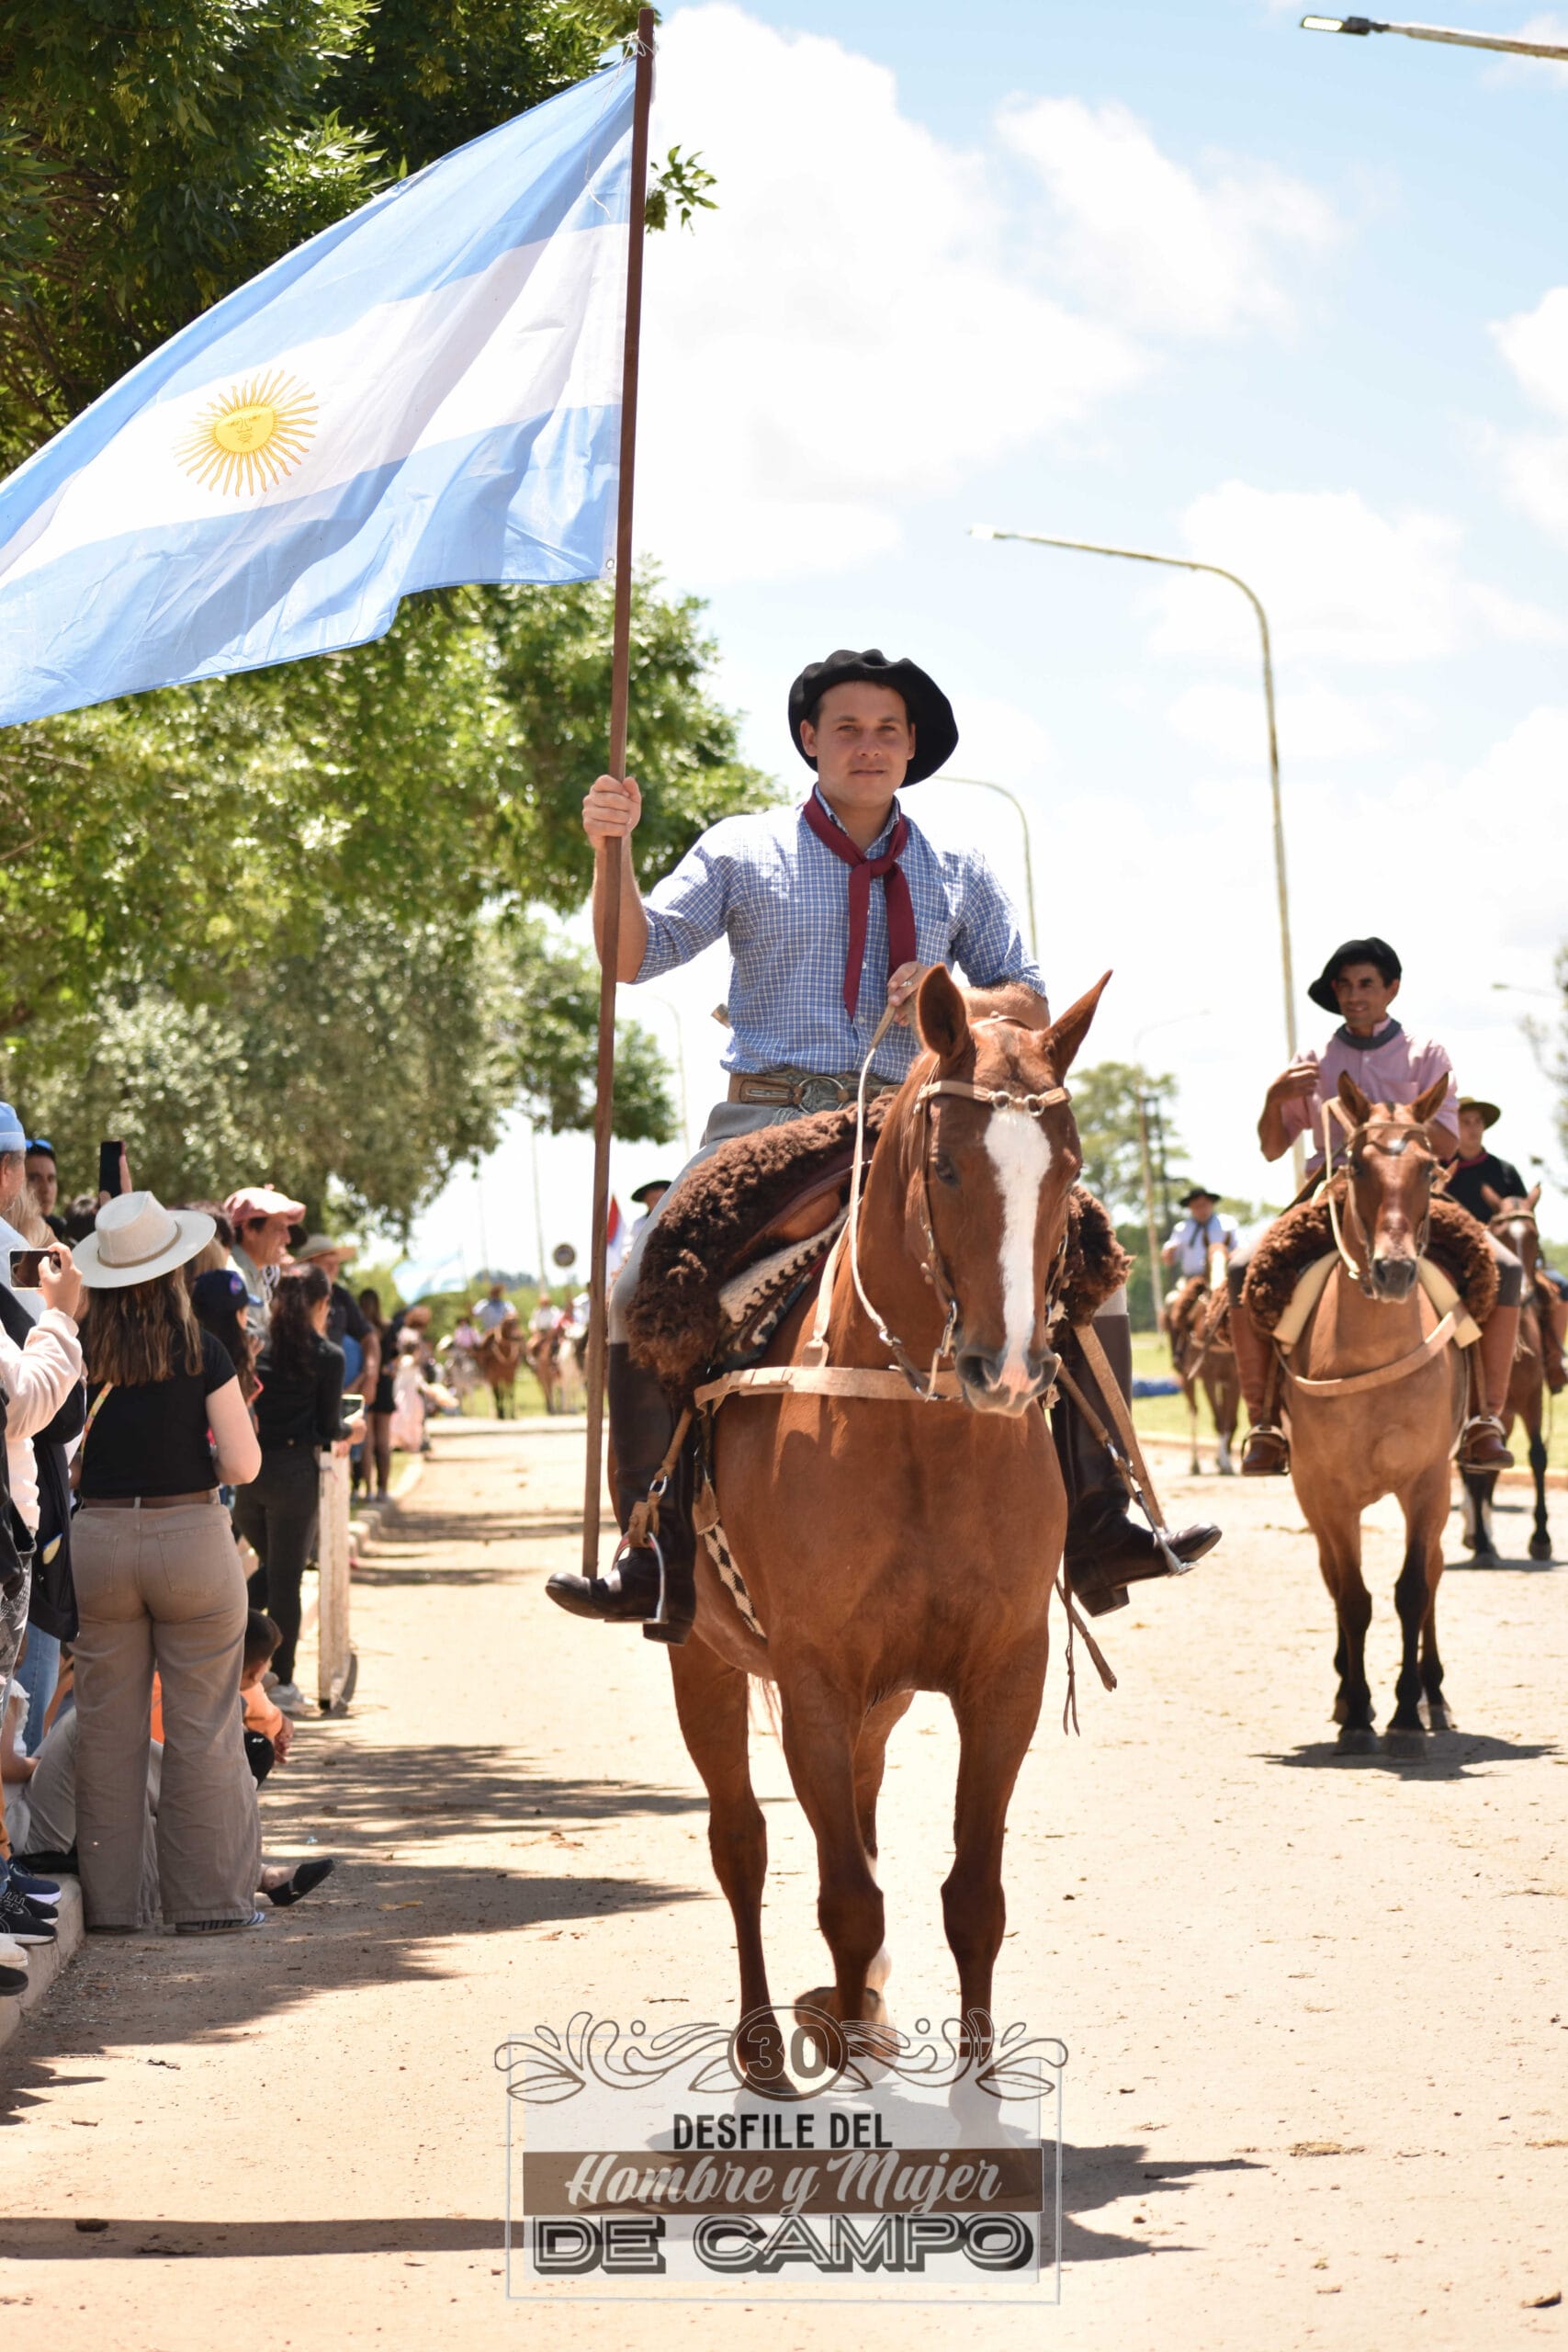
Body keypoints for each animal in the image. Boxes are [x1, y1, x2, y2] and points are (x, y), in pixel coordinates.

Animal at [664, 968, 1106, 2079]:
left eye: (1068, 1166)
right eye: (945, 1166)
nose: (1009, 1371)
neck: (918, 1424)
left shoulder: (1004, 1674)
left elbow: (974, 1897)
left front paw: (980, 2078)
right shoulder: (815, 1680)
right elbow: (845, 1898)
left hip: (886, 1693)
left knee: (854, 1818)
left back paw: (851, 2011)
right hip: (703, 1656)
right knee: (741, 1844)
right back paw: (766, 2044)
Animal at [1169, 1243, 1240, 1475]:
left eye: (1229, 1259)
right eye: (1205, 1262)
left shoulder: (1233, 1380)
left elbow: (1230, 1421)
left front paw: (1225, 1461)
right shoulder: (1208, 1378)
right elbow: (1218, 1420)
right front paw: (1224, 1462)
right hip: (1186, 1378)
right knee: (1193, 1411)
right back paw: (1195, 1462)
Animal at [1272, 1072, 1466, 1758]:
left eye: (1429, 1167)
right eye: (1354, 1165)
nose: (1393, 1270)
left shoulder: (1428, 1484)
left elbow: (1412, 1590)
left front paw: (1407, 1712)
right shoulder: (1327, 1495)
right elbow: (1352, 1597)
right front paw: (1357, 1711)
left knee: (1432, 1573)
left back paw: (1434, 1695)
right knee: (1335, 1581)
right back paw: (1342, 1693)